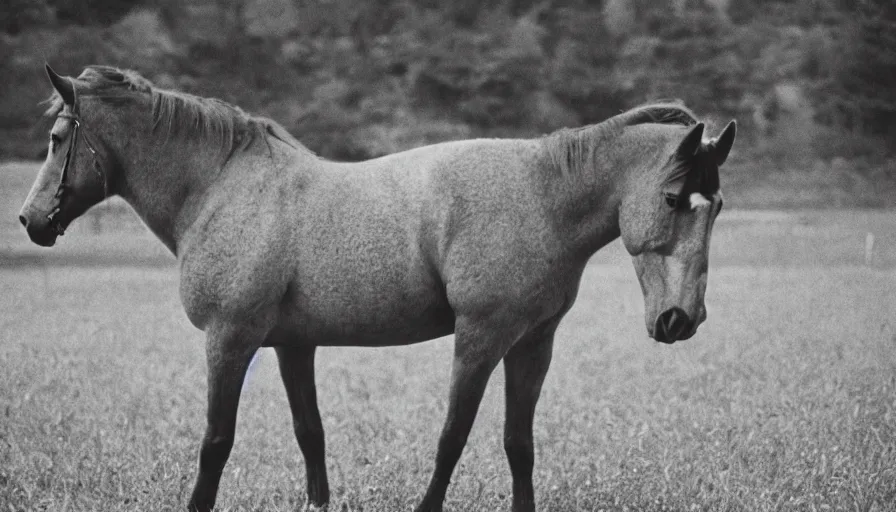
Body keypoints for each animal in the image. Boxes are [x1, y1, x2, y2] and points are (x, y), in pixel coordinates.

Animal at [19, 65, 736, 512]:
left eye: (56, 138)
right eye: (676, 199)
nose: (30, 221)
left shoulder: (502, 342)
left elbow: (466, 438)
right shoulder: (289, 345)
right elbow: (312, 434)